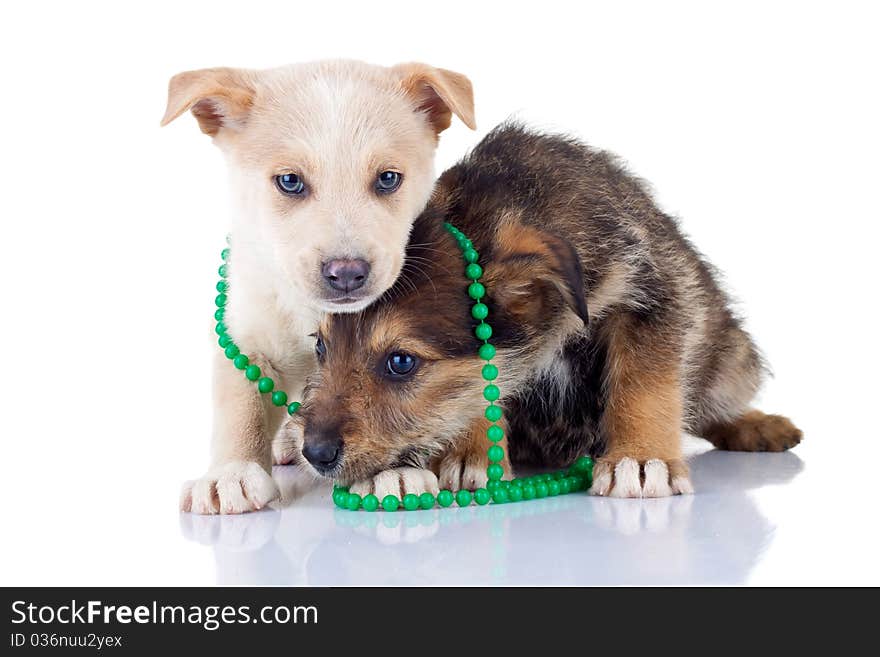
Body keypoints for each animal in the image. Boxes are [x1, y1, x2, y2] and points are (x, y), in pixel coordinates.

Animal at [292, 123, 800, 498]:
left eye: (401, 362)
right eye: (320, 348)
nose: (313, 454)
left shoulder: (654, 291)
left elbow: (645, 382)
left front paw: (640, 458)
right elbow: (479, 392)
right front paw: (468, 453)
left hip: (731, 358)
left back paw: (755, 424)